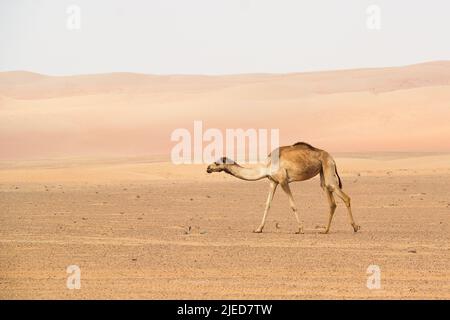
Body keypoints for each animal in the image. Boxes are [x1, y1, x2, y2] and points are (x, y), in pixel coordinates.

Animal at [206, 141, 360, 234]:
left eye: (217, 163)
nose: (208, 168)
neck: (266, 167)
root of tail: (332, 157)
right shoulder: (273, 181)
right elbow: (267, 204)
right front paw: (258, 229)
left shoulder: (283, 180)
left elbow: (292, 204)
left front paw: (300, 229)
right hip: (323, 172)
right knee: (331, 201)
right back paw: (325, 230)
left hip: (327, 167)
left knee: (344, 197)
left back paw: (355, 227)